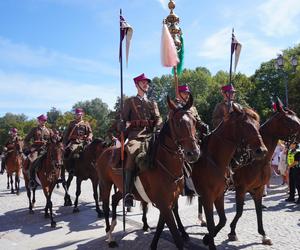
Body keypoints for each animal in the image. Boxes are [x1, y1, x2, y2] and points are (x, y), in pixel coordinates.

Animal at [95, 95, 199, 248]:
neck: (163, 163)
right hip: (105, 184)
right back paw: (110, 236)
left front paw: (153, 244)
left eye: (194, 121)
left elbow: (161, 226)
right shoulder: (164, 204)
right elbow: (176, 237)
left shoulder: (168, 203)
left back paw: (113, 226)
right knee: (106, 205)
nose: (193, 153)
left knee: (114, 199)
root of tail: (104, 152)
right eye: (177, 123)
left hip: (122, 187)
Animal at [190, 102, 268, 249]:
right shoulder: (209, 196)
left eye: (257, 124)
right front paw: (212, 239)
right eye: (245, 124)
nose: (262, 150)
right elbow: (212, 223)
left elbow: (223, 220)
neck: (215, 159)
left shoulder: (219, 195)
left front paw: (207, 238)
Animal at [227, 101, 300, 244]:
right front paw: (232, 231)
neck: (256, 160)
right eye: (291, 121)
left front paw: (263, 234)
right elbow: (239, 211)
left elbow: (259, 210)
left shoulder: (259, 188)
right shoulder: (241, 188)